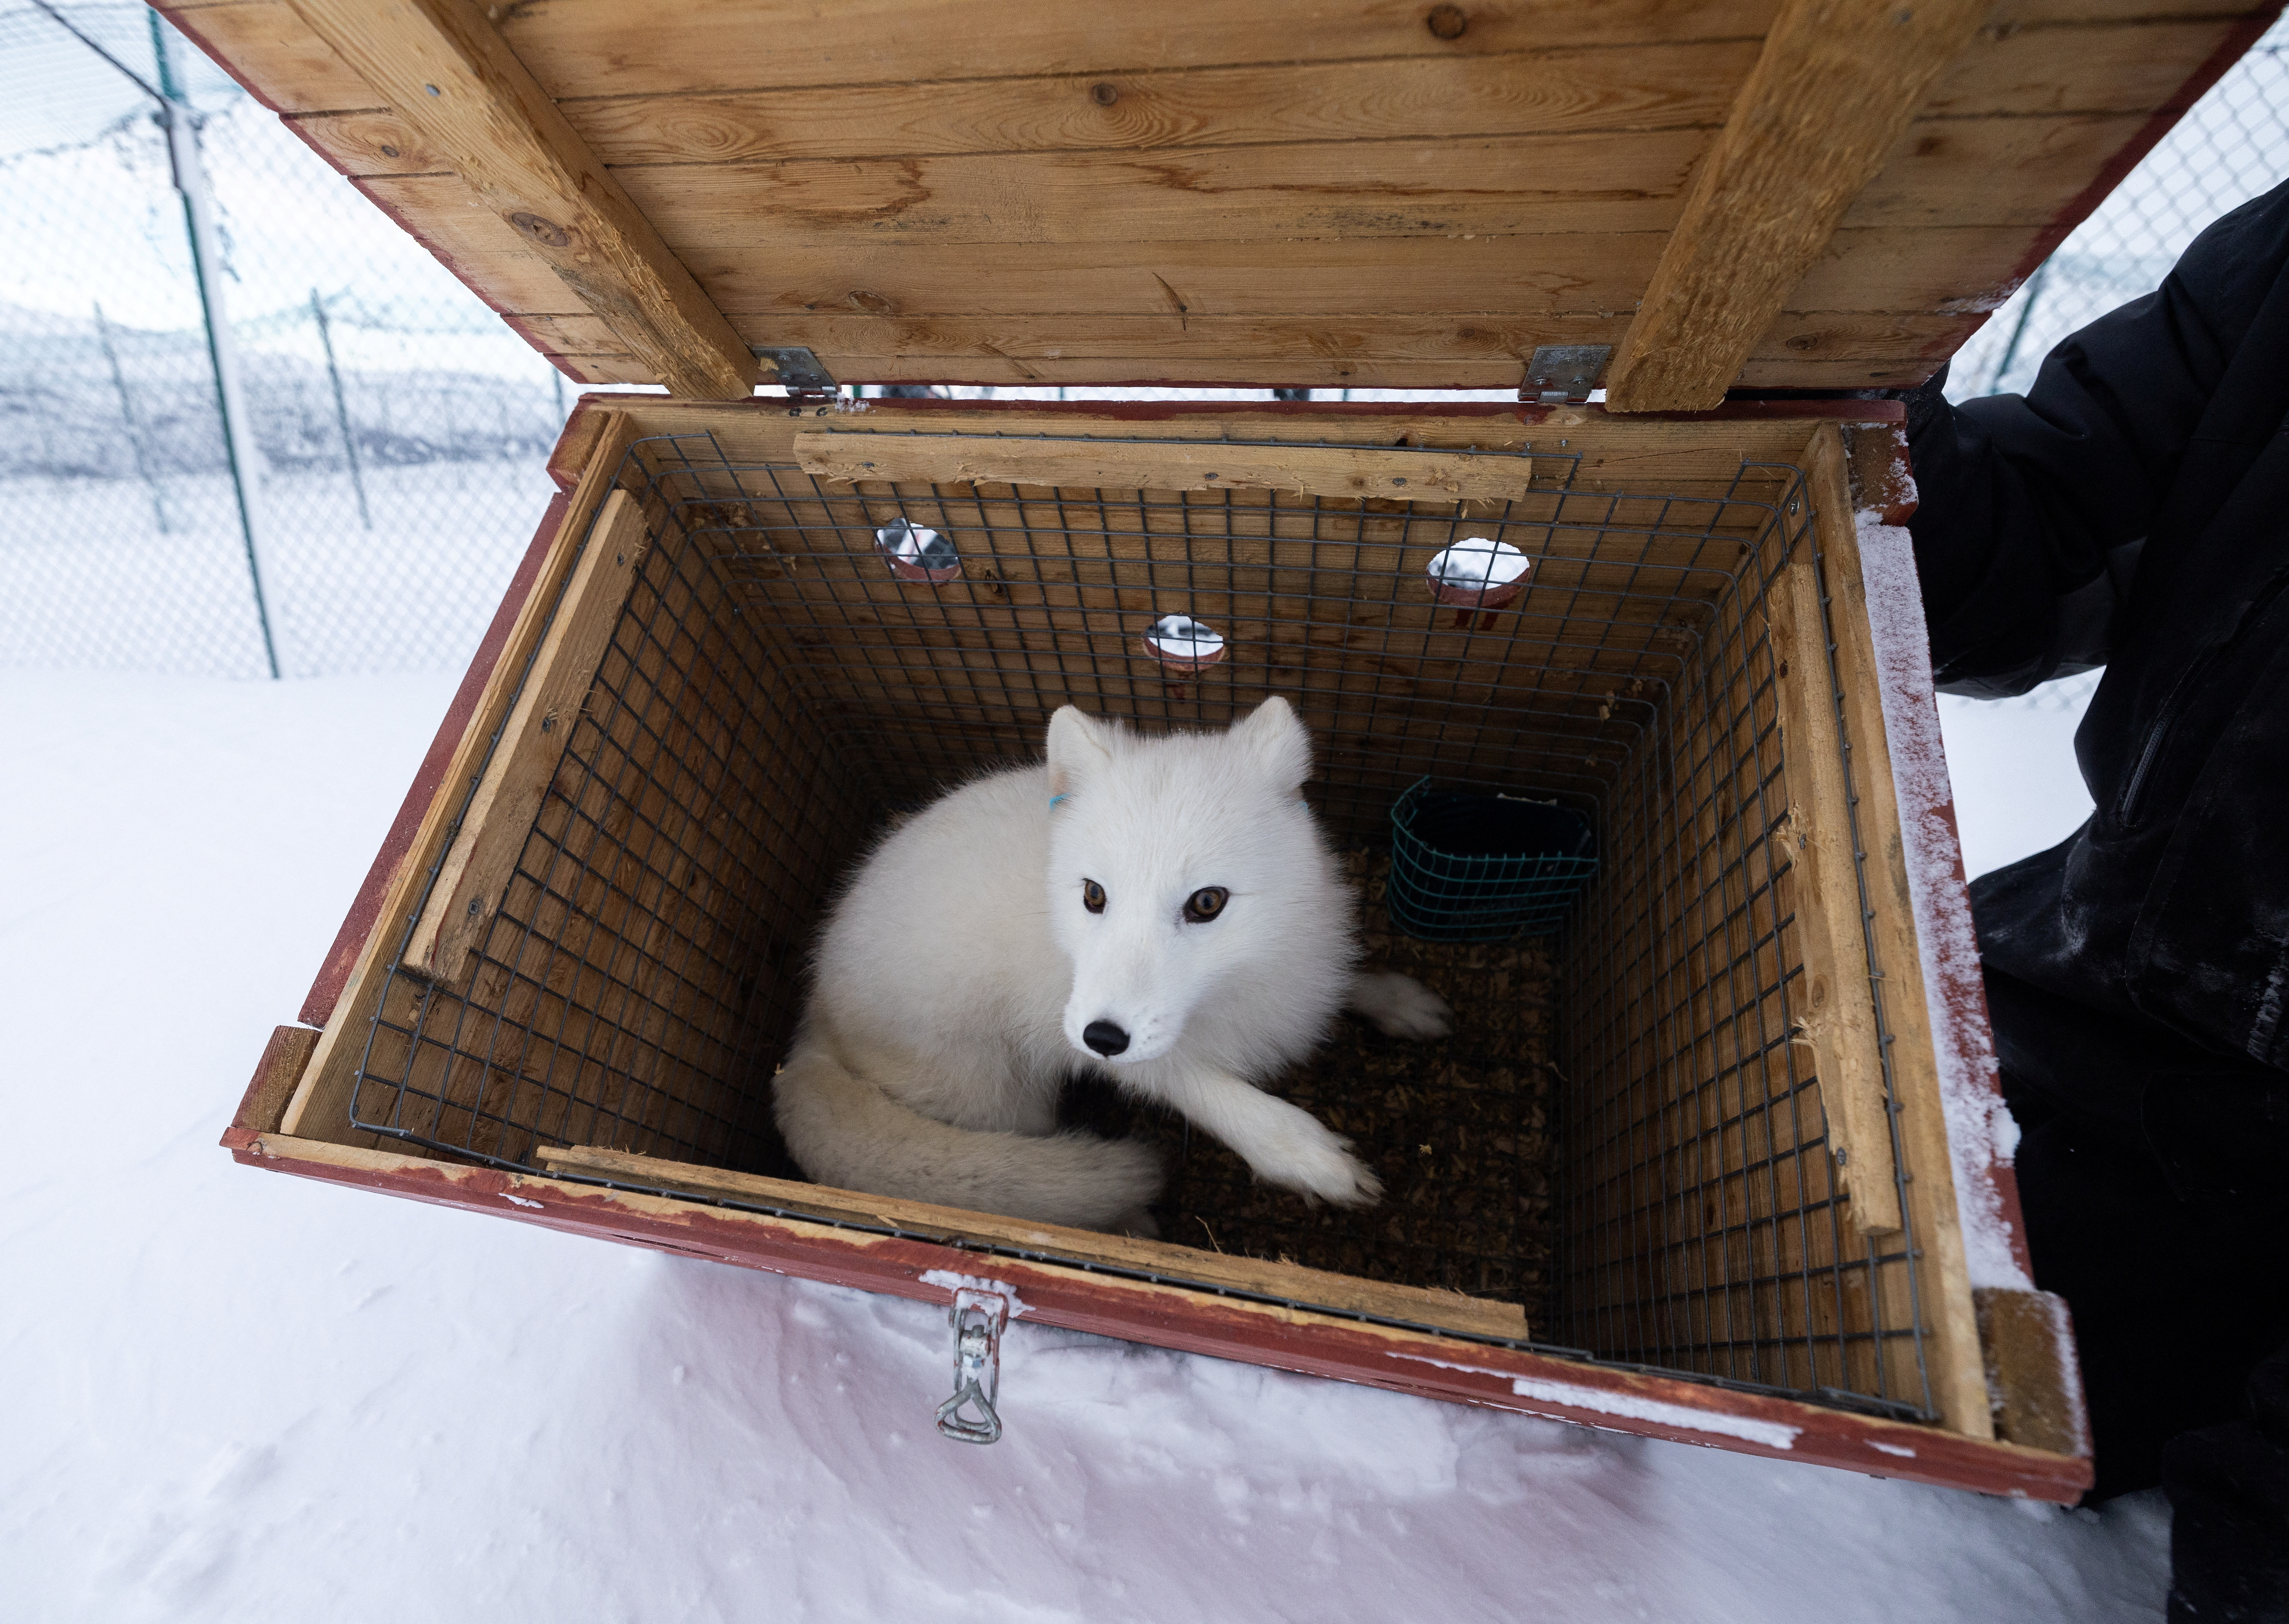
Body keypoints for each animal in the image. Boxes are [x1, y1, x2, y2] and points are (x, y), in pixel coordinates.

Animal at [771, 697, 1453, 1232]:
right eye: (1094, 895)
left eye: (1207, 903)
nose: (1102, 1036)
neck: (1235, 987)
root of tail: (808, 1023)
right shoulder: (1090, 1032)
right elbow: (1209, 1093)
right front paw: (1308, 1158)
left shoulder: (1308, 956)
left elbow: (1341, 982)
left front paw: (1395, 1000)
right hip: (1001, 1098)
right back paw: (1123, 1219)